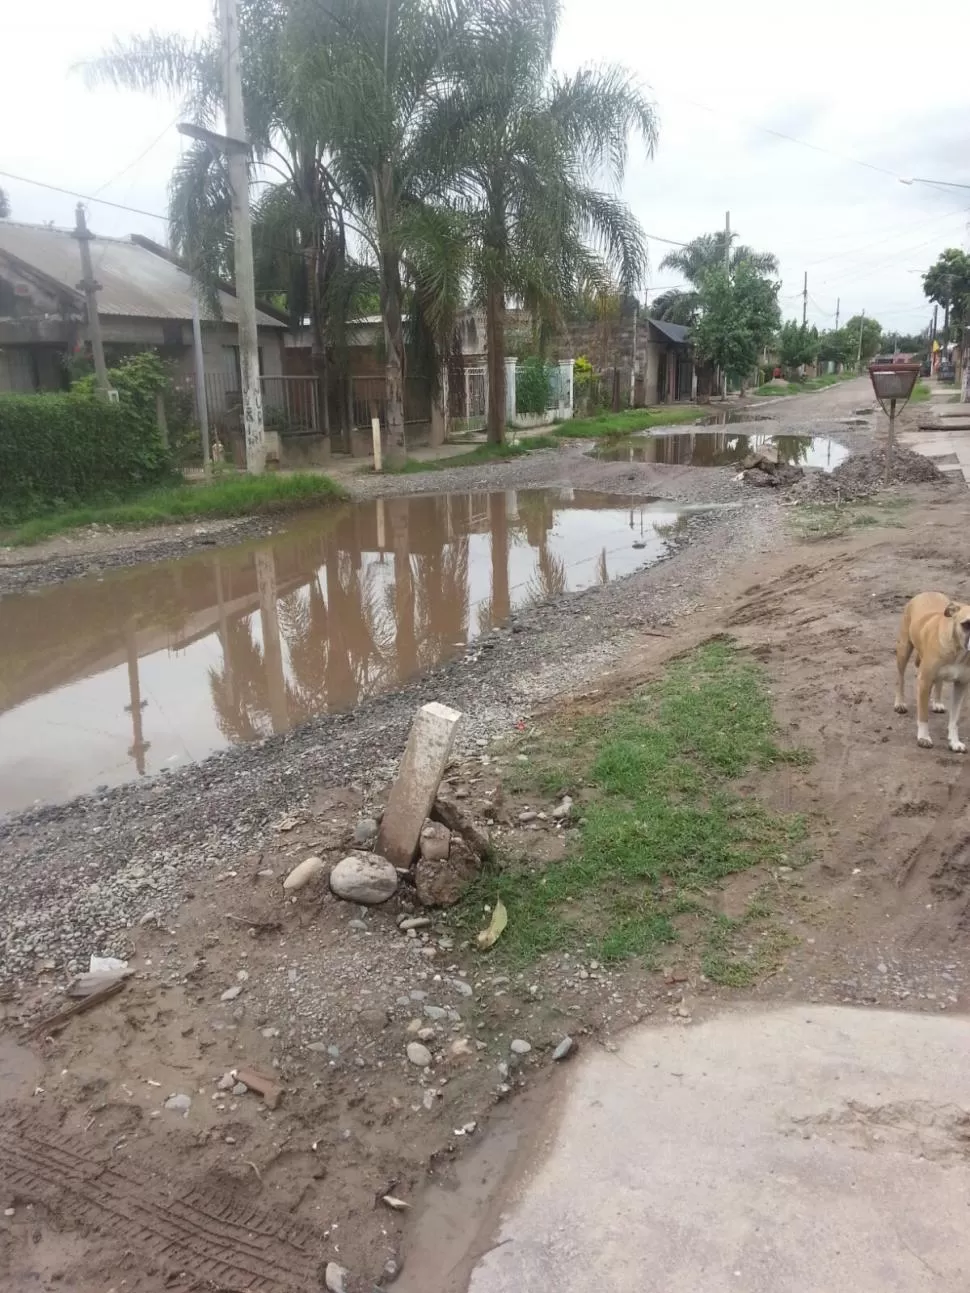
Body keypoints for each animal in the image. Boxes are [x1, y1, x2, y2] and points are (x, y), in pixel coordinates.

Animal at [900, 592, 970, 755]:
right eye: (966, 624)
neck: (957, 652)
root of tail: (927, 592)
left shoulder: (961, 685)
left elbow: (955, 719)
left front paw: (954, 741)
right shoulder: (924, 681)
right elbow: (923, 715)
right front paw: (923, 737)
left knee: (939, 682)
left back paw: (937, 702)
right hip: (903, 650)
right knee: (900, 679)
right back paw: (899, 703)